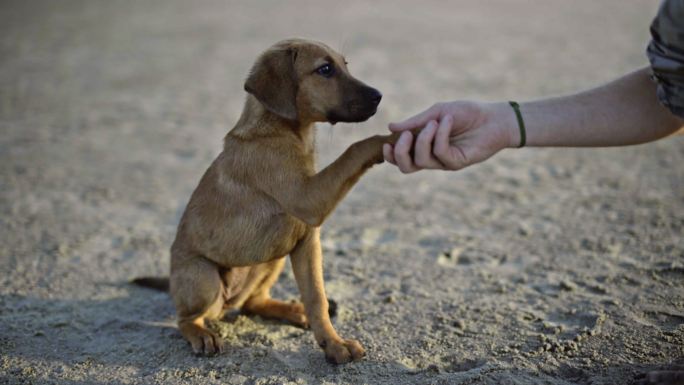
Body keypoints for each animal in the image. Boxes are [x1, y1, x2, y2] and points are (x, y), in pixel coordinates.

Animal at [136, 38, 404, 364]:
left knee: (253, 302)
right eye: (325, 69)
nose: (379, 96)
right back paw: (202, 334)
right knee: (186, 318)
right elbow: (356, 148)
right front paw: (394, 139)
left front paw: (333, 343)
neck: (286, 131)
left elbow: (317, 298)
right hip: (205, 278)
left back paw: (292, 310)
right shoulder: (309, 198)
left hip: (272, 259)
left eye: (345, 65)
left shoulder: (307, 241)